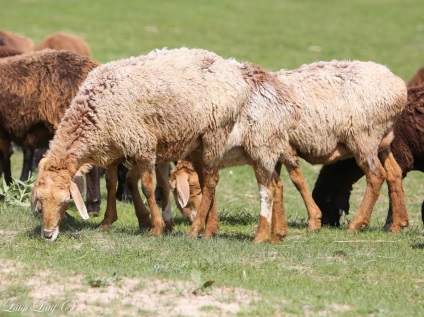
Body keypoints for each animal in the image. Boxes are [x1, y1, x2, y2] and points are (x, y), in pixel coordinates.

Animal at [174, 59, 410, 238]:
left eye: (192, 188)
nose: (189, 218)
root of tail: (398, 86)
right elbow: (277, 183)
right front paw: (279, 226)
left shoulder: (285, 147)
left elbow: (296, 179)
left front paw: (313, 221)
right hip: (382, 141)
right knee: (394, 174)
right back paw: (398, 224)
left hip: (363, 137)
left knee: (376, 176)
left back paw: (357, 224)